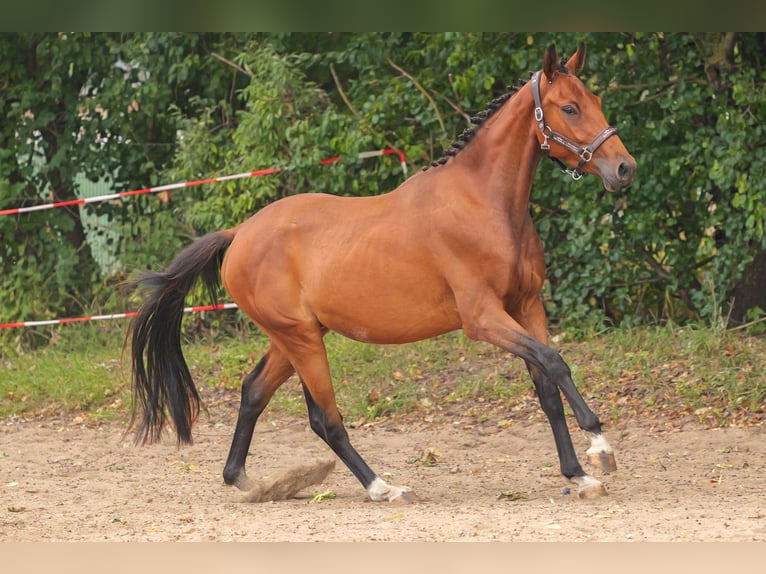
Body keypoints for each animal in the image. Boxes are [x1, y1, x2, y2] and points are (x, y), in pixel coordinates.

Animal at [128, 43, 636, 503]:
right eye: (569, 107)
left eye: (596, 100)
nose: (624, 168)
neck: (484, 204)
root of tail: (239, 234)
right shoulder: (483, 319)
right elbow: (556, 362)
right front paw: (600, 447)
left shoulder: (527, 307)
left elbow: (547, 387)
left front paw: (579, 475)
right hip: (301, 340)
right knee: (325, 419)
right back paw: (383, 487)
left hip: (296, 337)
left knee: (254, 392)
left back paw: (245, 482)